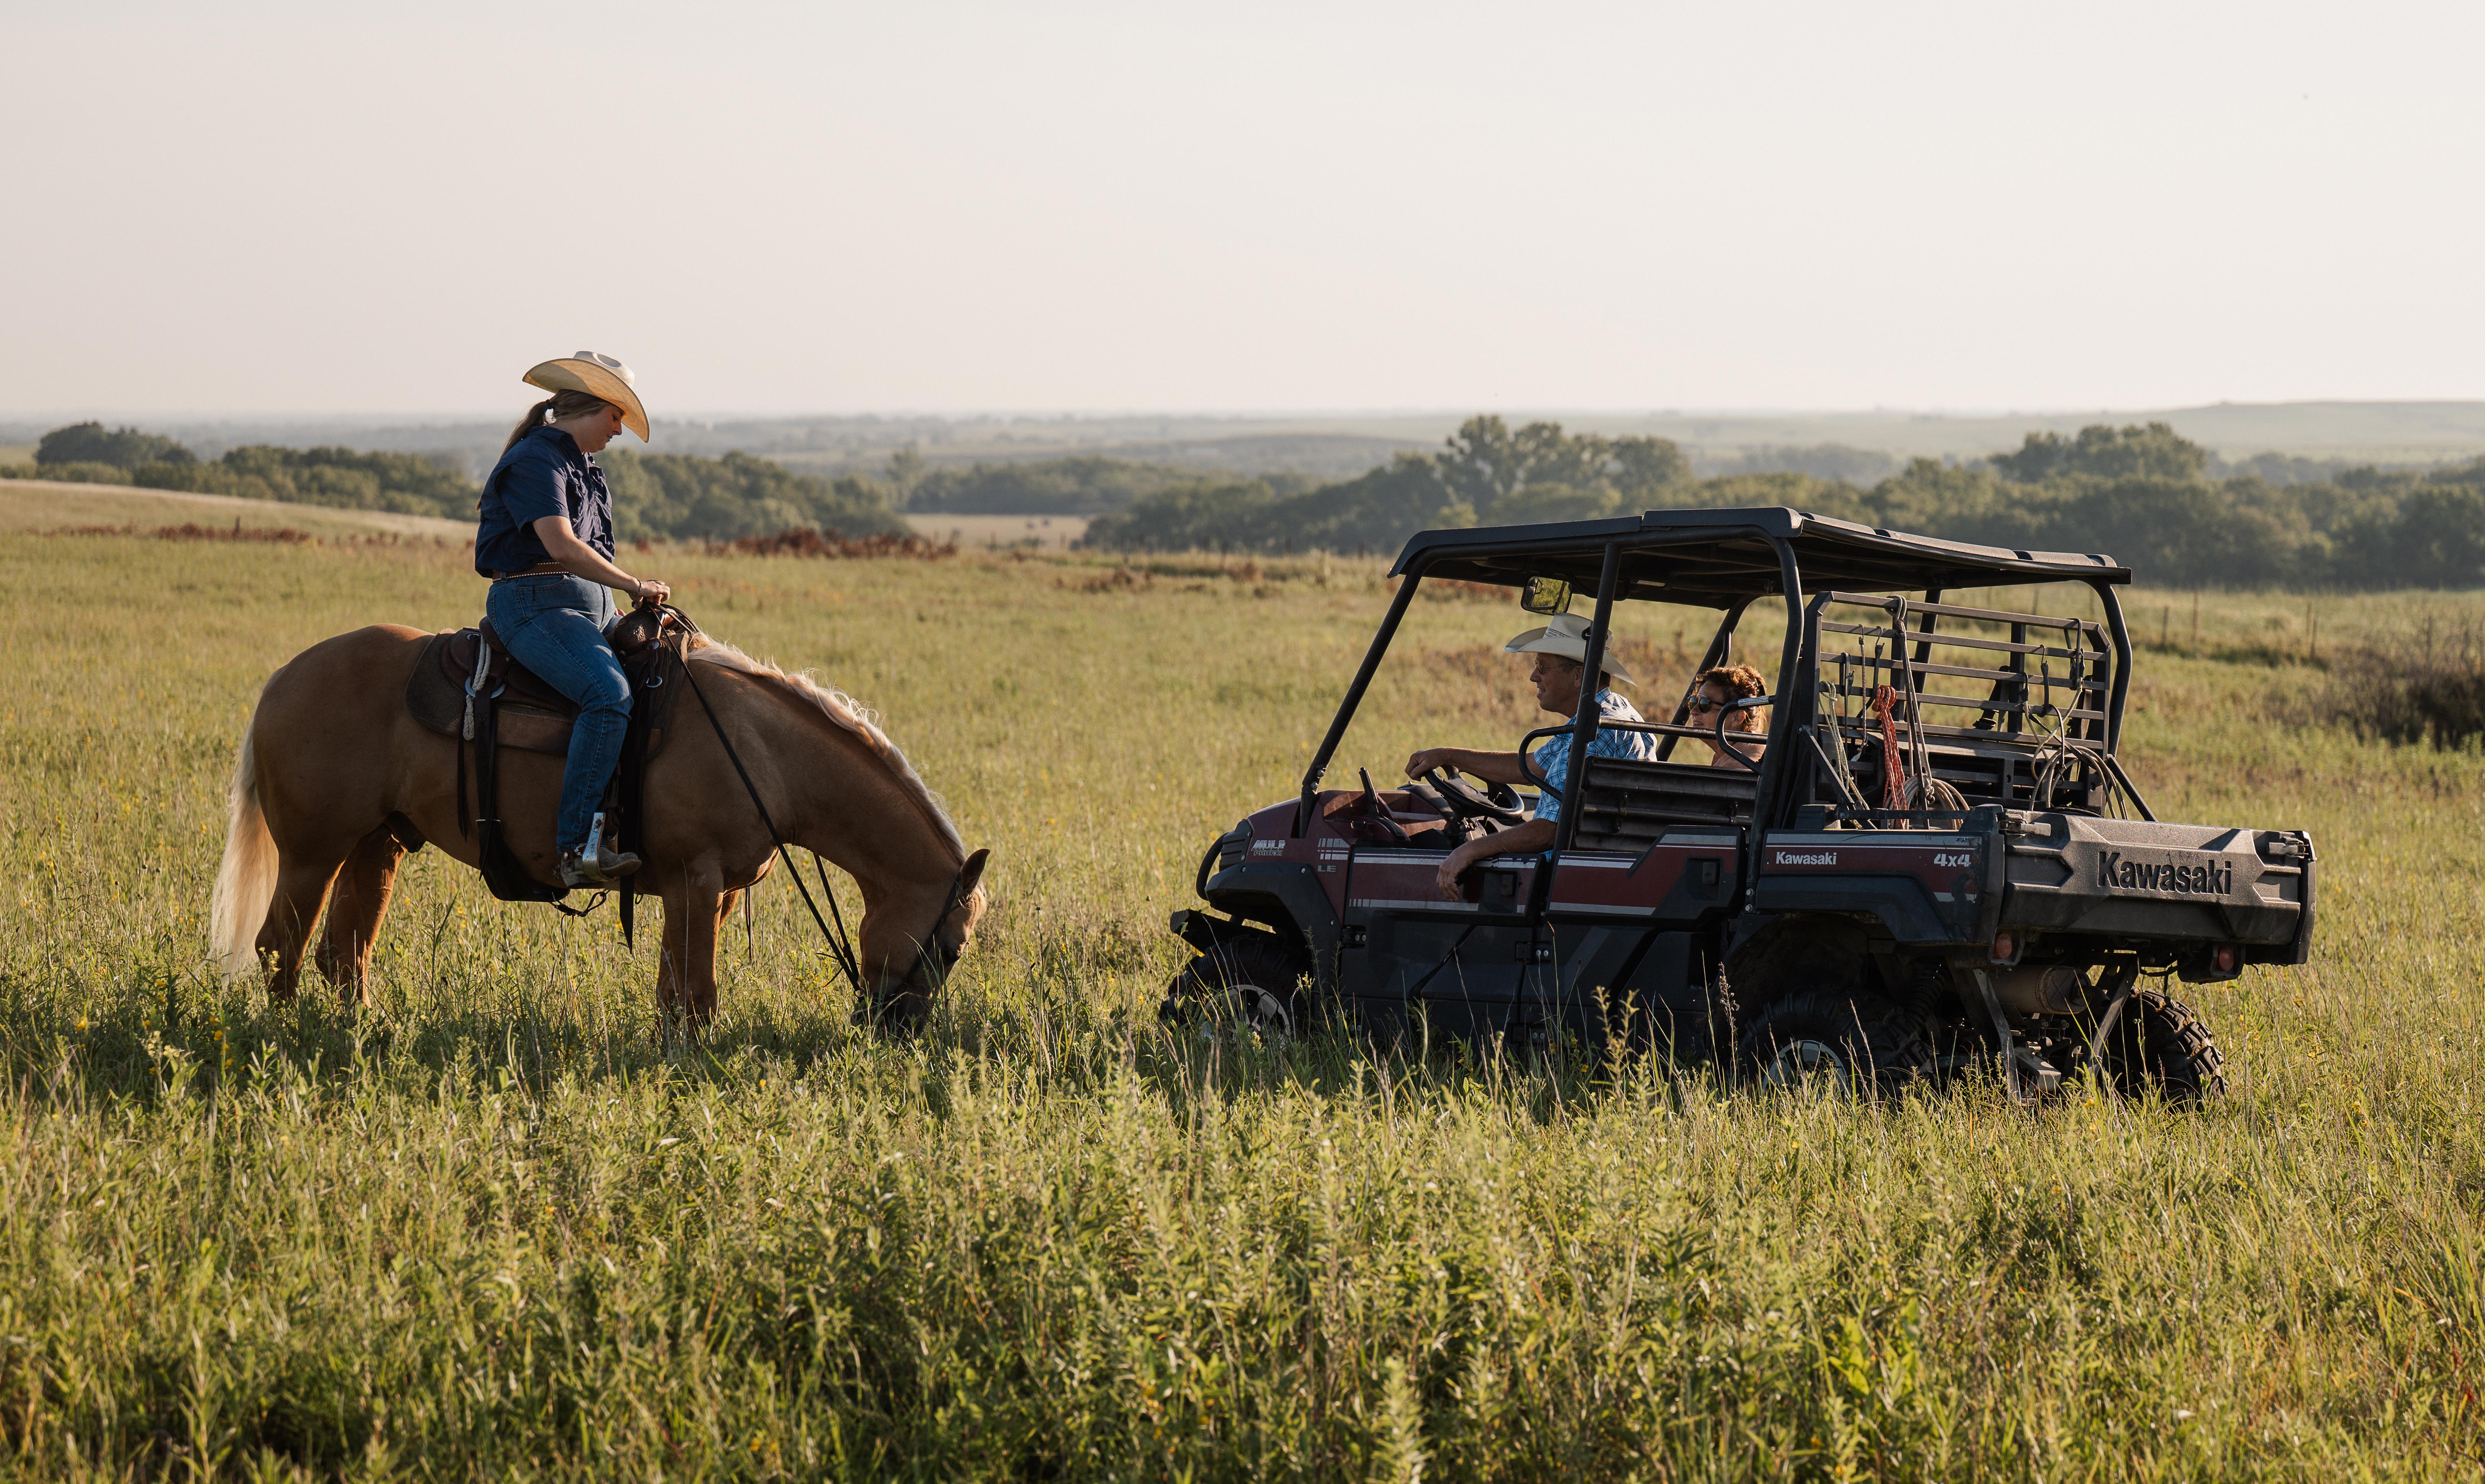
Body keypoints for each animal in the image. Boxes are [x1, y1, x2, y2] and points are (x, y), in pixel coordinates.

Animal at [208, 624, 989, 1026]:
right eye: (951, 948)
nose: (899, 1031)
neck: (765, 752)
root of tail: (281, 680)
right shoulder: (696, 879)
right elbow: (697, 995)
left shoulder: (706, 894)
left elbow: (676, 993)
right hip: (312, 854)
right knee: (279, 948)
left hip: (379, 844)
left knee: (343, 953)